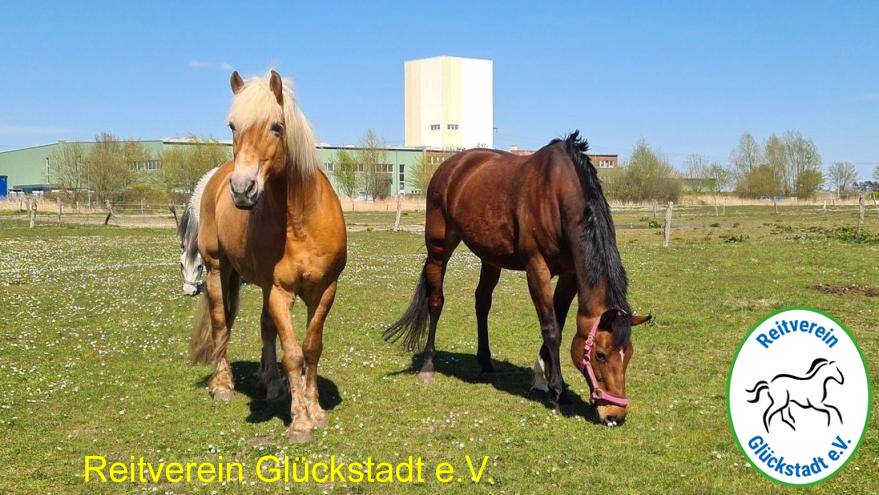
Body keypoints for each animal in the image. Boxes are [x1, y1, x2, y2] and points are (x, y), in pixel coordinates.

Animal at [191, 70, 347, 442]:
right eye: (232, 126)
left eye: (276, 126)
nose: (242, 189)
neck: (301, 220)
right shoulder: (280, 291)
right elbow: (293, 354)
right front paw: (301, 422)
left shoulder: (325, 291)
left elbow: (311, 348)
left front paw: (314, 410)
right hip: (218, 270)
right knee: (221, 324)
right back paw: (223, 385)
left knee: (265, 327)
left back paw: (272, 385)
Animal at [384, 132, 650, 426]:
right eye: (600, 355)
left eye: (629, 354)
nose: (615, 415)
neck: (557, 194)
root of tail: (450, 166)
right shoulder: (537, 268)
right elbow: (551, 328)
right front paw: (559, 393)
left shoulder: (570, 274)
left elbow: (558, 320)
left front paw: (543, 380)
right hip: (439, 248)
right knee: (436, 301)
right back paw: (428, 365)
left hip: (490, 257)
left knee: (482, 302)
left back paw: (486, 364)